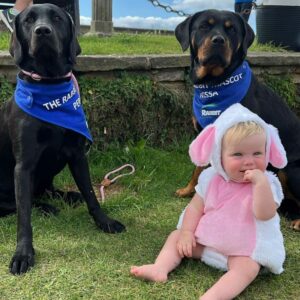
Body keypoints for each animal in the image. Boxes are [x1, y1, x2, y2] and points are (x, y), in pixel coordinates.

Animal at [0, 4, 125, 274]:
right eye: (28, 20)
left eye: (56, 18)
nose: (42, 31)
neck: (49, 85)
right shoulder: (23, 166)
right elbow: (23, 215)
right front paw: (23, 253)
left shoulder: (77, 155)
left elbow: (91, 194)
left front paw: (105, 222)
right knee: (17, 204)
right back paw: (46, 207)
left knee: (45, 191)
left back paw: (66, 197)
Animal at [175, 9, 300, 230]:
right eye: (204, 26)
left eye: (231, 29)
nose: (218, 40)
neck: (215, 83)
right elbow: (197, 170)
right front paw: (189, 190)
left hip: (290, 167)